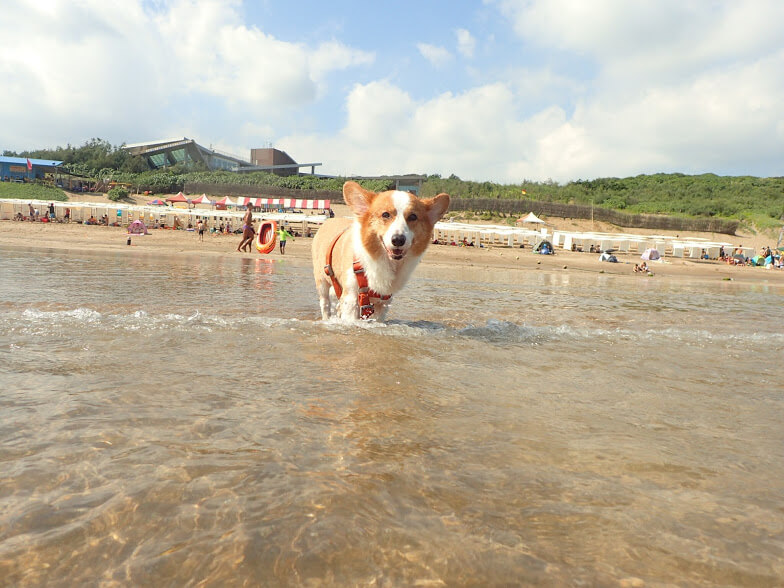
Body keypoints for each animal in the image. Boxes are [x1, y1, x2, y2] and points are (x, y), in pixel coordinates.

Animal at [310, 181, 450, 322]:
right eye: (385, 214)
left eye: (413, 216)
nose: (398, 240)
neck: (383, 260)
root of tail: (329, 220)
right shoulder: (351, 298)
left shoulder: (383, 304)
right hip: (322, 284)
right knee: (325, 304)